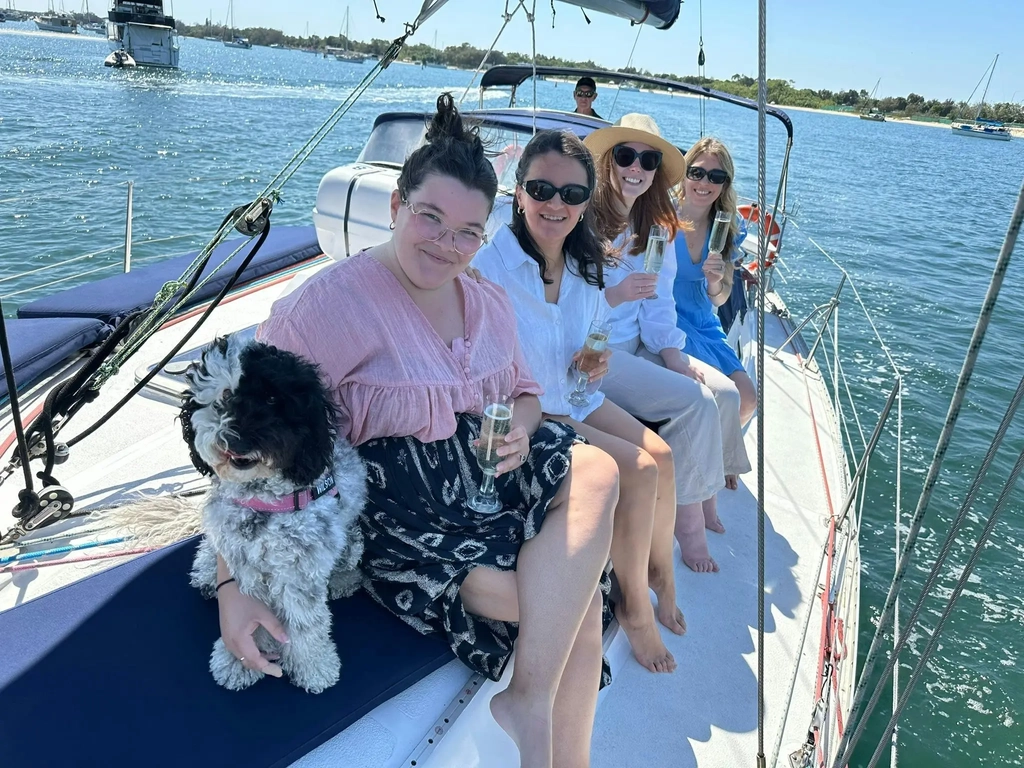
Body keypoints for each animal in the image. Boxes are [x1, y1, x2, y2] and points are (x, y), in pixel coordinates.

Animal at [182, 335, 366, 696]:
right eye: (225, 398)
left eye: (271, 398)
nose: (237, 439)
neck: (263, 503)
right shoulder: (243, 566)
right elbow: (249, 620)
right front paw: (238, 661)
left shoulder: (299, 573)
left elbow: (305, 626)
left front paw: (314, 669)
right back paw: (206, 573)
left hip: (350, 540)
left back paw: (343, 580)